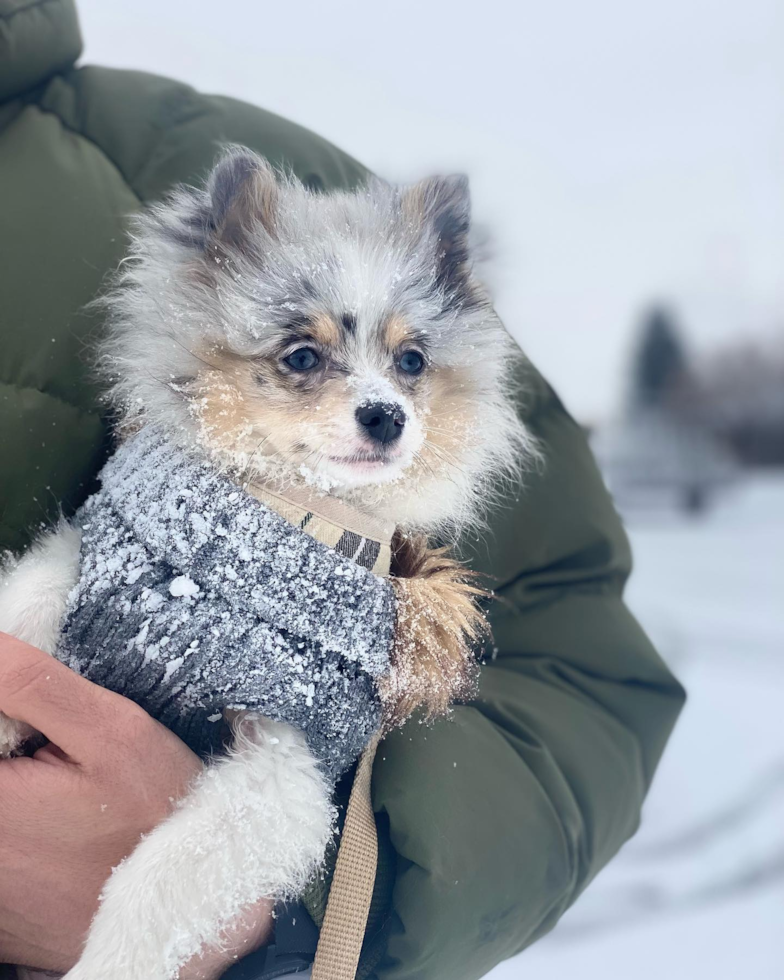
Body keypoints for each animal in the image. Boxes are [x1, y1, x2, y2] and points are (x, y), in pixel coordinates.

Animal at [0, 147, 532, 980]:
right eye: (302, 356)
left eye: (412, 360)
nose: (387, 416)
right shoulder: (96, 557)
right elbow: (29, 599)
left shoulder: (288, 764)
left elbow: (159, 878)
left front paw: (109, 966)